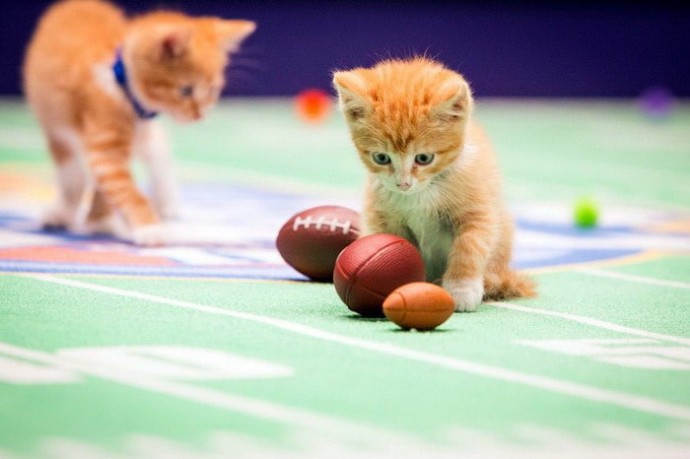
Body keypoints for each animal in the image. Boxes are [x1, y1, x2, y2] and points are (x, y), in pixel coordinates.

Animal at [24, 0, 256, 246]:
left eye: (212, 91)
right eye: (186, 90)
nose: (199, 115)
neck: (121, 81)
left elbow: (108, 183)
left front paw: (101, 220)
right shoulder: (103, 141)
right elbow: (118, 186)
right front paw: (147, 227)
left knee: (158, 145)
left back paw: (165, 201)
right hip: (56, 130)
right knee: (73, 175)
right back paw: (65, 212)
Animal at [332, 55, 532, 310]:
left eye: (424, 158)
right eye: (381, 158)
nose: (403, 184)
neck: (420, 194)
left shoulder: (478, 212)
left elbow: (469, 247)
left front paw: (462, 289)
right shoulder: (380, 216)